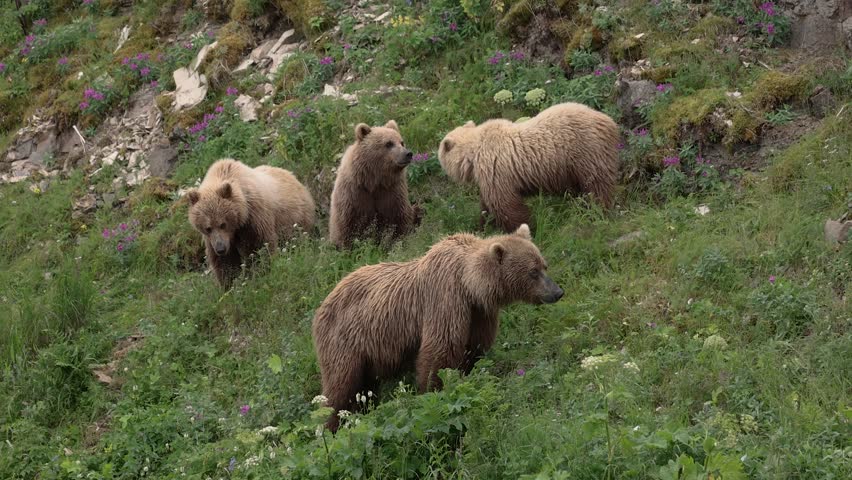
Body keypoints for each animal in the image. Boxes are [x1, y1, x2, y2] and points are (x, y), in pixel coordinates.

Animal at [187, 158, 316, 287]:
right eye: (208, 228)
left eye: (222, 224)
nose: (221, 249)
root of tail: (293, 176)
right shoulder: (214, 239)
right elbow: (225, 262)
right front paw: (229, 284)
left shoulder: (254, 218)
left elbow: (260, 246)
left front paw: (260, 272)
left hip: (295, 219)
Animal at [311, 224, 563, 431]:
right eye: (533, 271)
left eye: (544, 265)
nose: (557, 292)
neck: (470, 285)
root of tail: (323, 303)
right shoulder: (445, 298)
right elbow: (440, 351)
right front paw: (432, 393)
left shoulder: (479, 314)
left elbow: (474, 348)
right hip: (345, 341)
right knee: (341, 387)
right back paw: (331, 425)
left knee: (363, 389)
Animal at [328, 120, 420, 249]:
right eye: (389, 143)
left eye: (402, 142)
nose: (408, 154)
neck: (374, 181)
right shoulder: (354, 194)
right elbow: (347, 225)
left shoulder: (391, 191)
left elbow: (399, 217)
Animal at [438, 102, 620, 233]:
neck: (474, 155)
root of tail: (609, 121)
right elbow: (487, 206)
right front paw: (483, 226)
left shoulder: (496, 170)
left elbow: (506, 205)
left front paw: (525, 227)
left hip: (586, 152)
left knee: (596, 185)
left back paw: (596, 211)